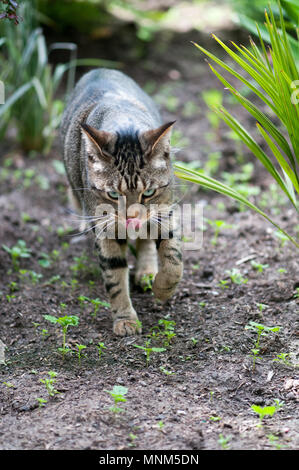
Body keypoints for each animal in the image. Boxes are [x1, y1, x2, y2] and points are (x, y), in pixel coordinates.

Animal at [59, 68, 183, 336]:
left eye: (149, 192)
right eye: (113, 195)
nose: (131, 216)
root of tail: (100, 69)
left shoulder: (164, 213)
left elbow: (173, 262)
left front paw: (161, 289)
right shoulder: (104, 228)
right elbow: (115, 278)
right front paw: (125, 319)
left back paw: (147, 272)